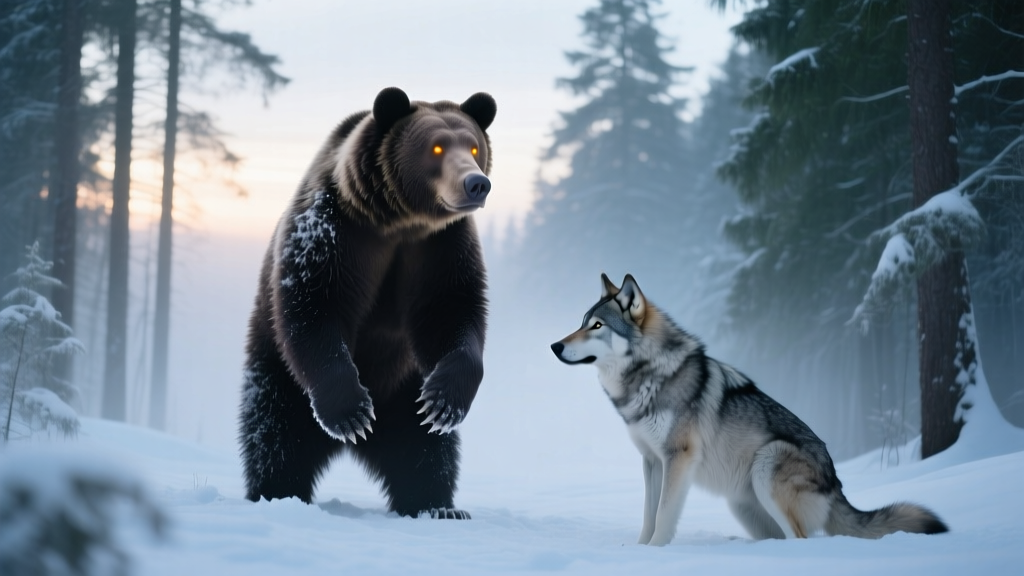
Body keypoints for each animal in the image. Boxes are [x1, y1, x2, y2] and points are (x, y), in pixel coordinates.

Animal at [238, 87, 496, 519]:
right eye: (437, 147)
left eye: (474, 146)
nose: (477, 183)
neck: (398, 222)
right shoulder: (335, 231)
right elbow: (314, 306)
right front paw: (350, 412)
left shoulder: (441, 248)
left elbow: (452, 313)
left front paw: (445, 401)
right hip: (280, 374)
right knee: (276, 432)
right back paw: (278, 492)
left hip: (405, 390)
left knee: (425, 447)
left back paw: (436, 504)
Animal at [550, 273, 948, 546]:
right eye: (582, 322)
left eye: (597, 325)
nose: (554, 346)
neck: (650, 374)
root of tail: (836, 484)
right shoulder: (652, 461)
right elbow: (648, 516)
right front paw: (640, 550)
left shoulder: (678, 458)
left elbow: (663, 516)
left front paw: (657, 552)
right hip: (742, 503)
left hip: (767, 464)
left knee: (801, 539)